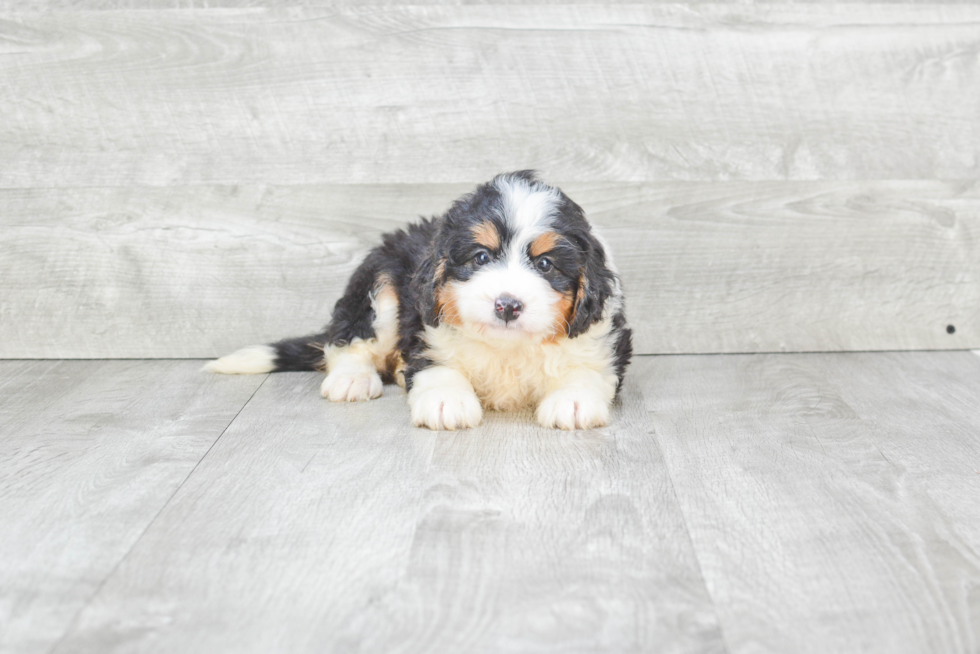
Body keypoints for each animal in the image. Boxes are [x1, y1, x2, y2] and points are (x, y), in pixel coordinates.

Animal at [208, 172, 636, 434]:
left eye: (545, 264)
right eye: (481, 257)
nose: (507, 305)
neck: (507, 348)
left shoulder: (603, 339)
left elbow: (589, 369)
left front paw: (573, 401)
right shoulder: (425, 329)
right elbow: (437, 365)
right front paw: (447, 401)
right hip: (380, 286)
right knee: (347, 338)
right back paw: (352, 379)